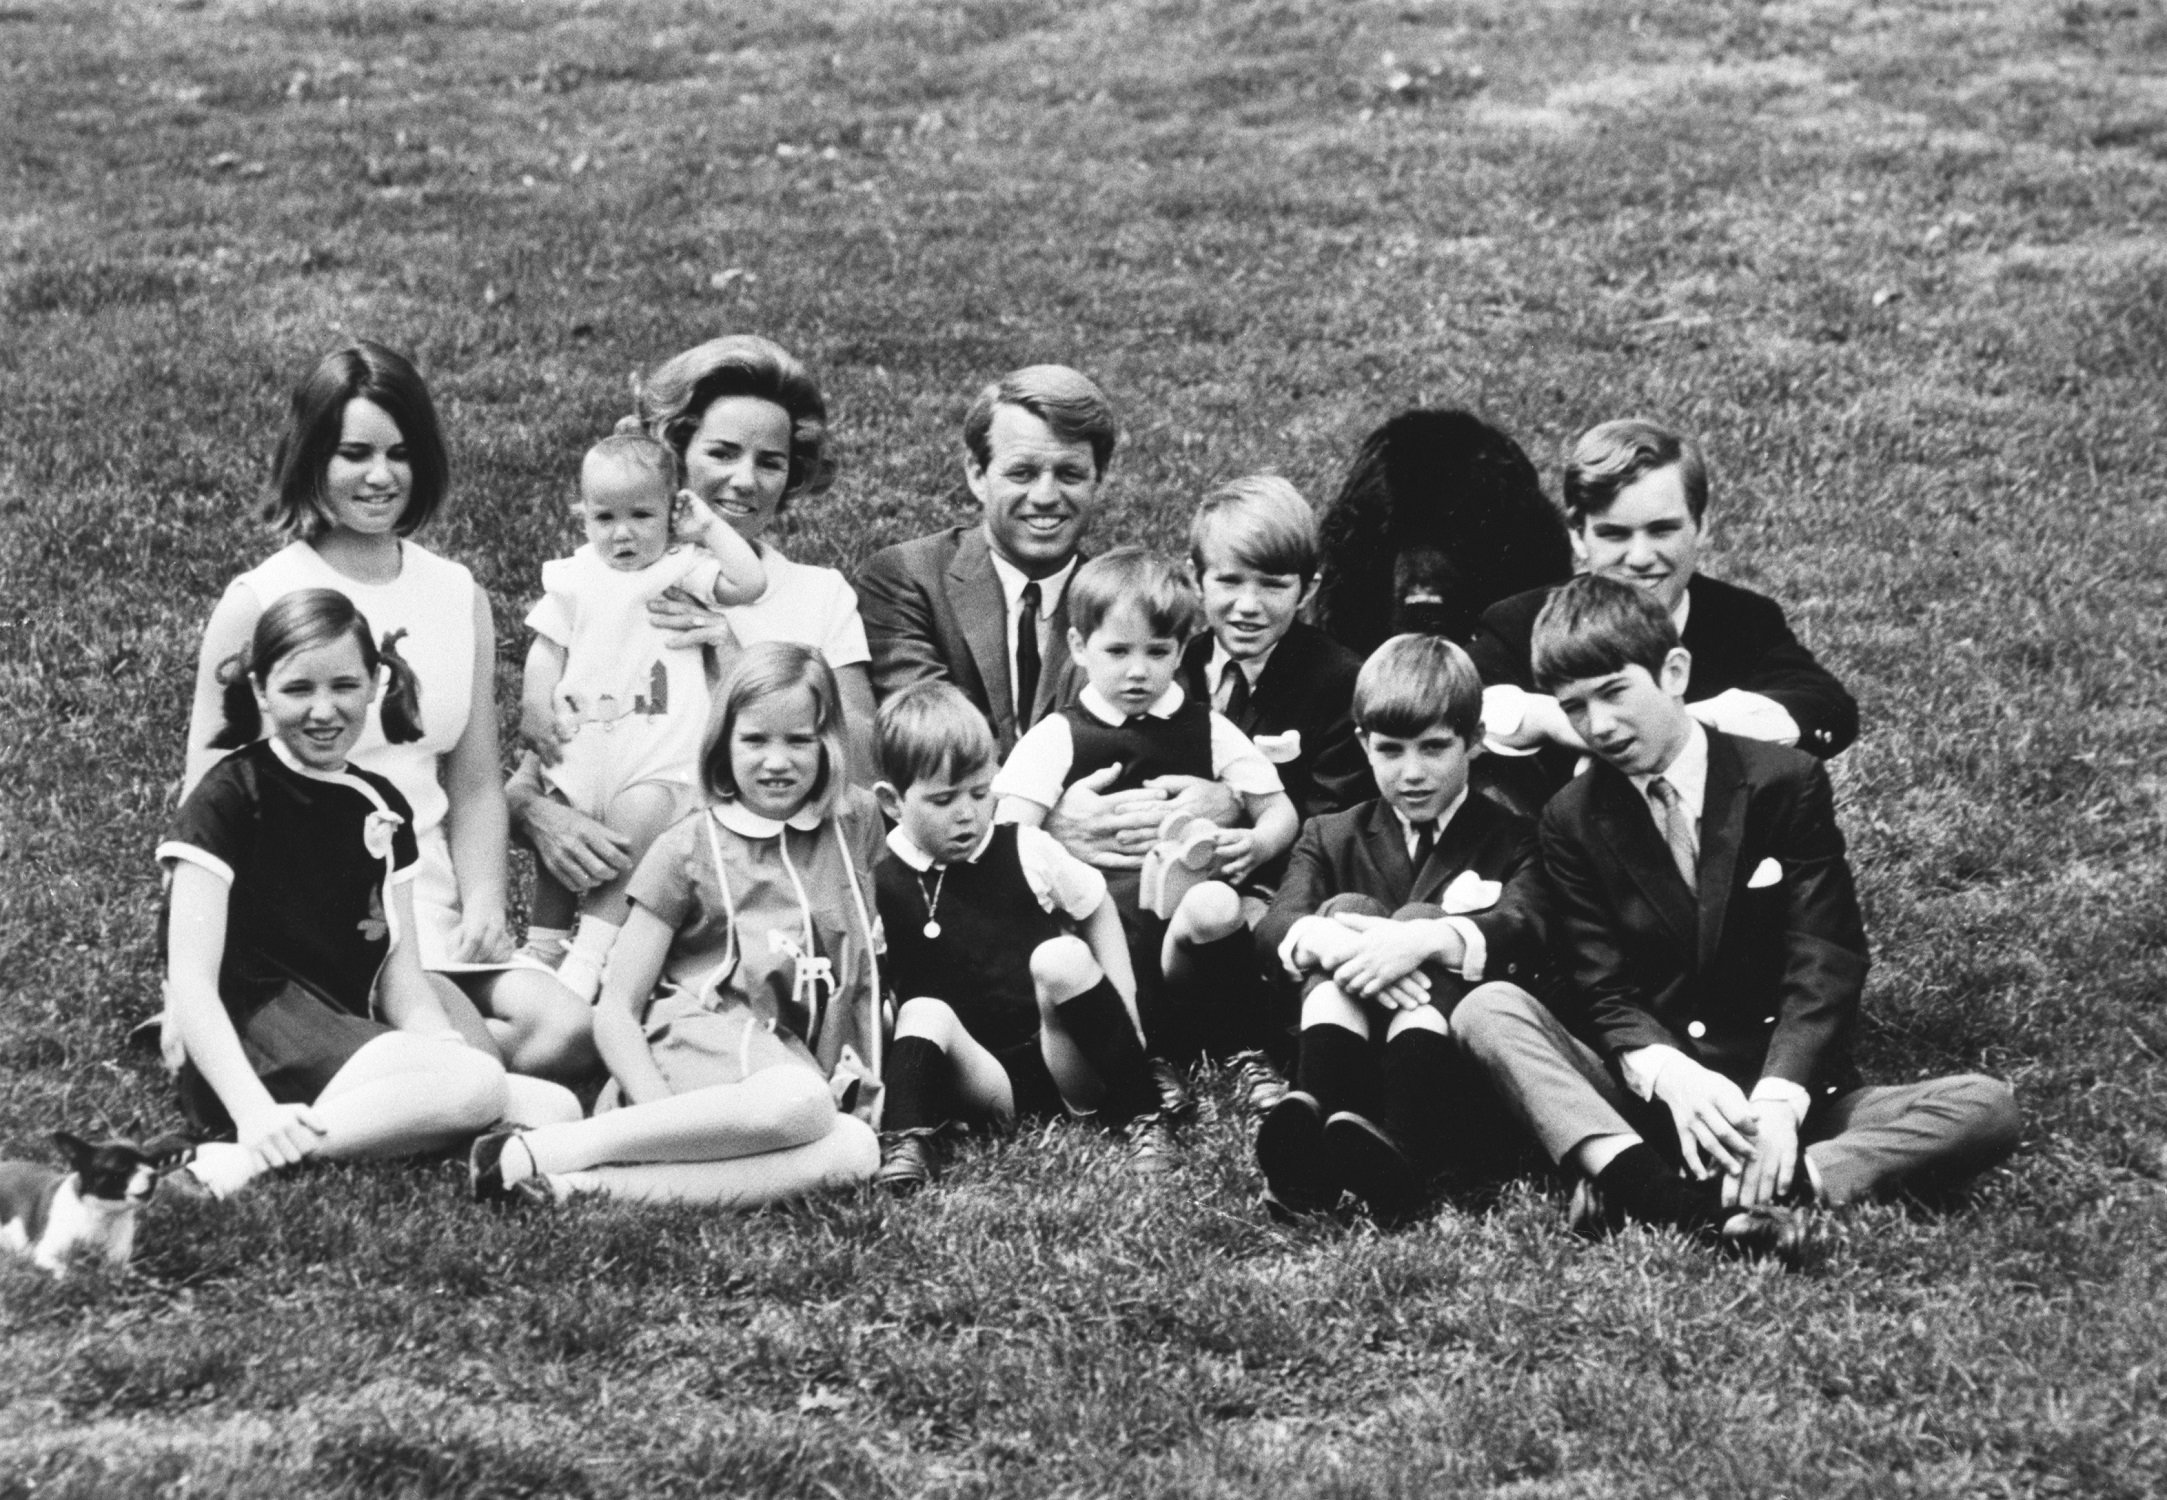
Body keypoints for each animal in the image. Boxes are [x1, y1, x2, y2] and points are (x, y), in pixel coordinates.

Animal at [0, 1135, 195, 1274]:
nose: (153, 1174)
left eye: (151, 1162)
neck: (102, 1213)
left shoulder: (119, 1262)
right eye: (121, 1166)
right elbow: (67, 1272)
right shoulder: (45, 1254)